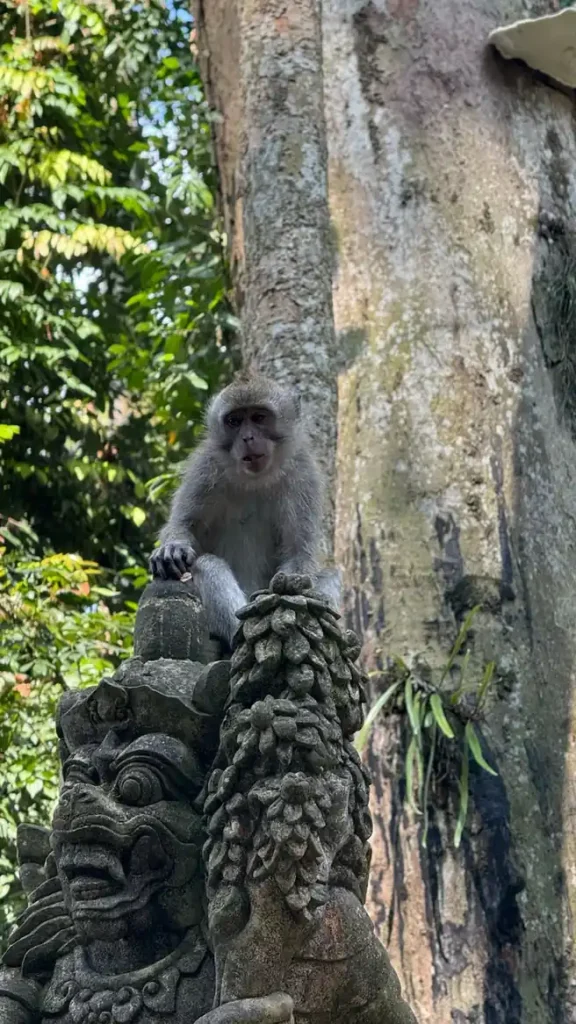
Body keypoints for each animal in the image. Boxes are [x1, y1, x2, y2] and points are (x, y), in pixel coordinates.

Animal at [149, 373, 340, 647]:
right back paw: (241, 633)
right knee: (207, 564)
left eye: (259, 418)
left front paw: (289, 595)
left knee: (332, 574)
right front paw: (173, 548)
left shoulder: (304, 475)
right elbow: (184, 524)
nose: (247, 438)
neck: (255, 479)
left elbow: (298, 553)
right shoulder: (205, 467)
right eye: (235, 421)